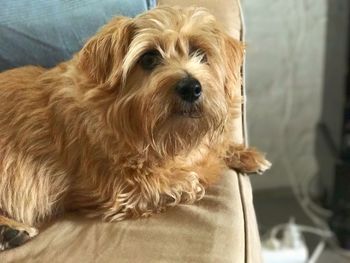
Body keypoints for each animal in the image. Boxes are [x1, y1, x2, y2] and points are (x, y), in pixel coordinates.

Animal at [0, 5, 270, 251]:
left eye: (200, 53)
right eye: (149, 58)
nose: (191, 87)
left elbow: (212, 146)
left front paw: (246, 154)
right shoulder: (126, 189)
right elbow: (194, 177)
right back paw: (8, 230)